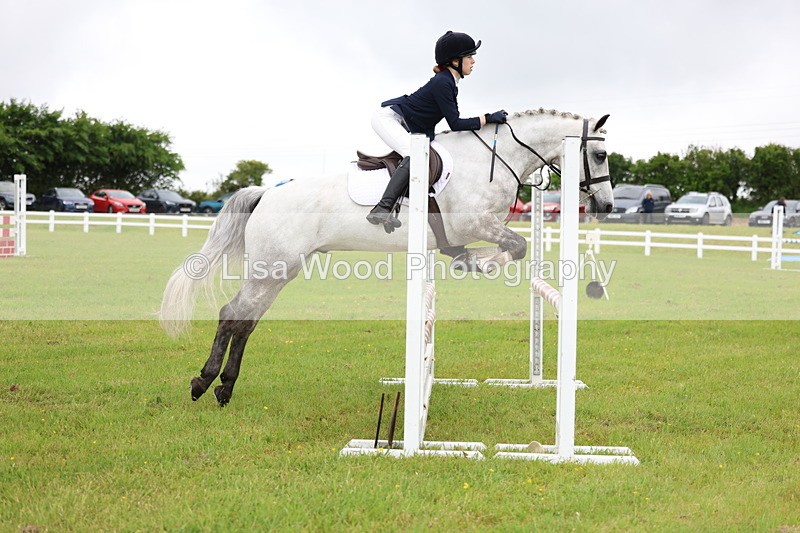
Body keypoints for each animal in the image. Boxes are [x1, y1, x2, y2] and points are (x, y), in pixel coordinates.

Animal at [159, 108, 614, 406]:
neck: (491, 158)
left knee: (244, 320)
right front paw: (474, 262)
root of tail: (266, 193)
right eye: (601, 155)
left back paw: (223, 388)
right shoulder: (474, 224)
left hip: (279, 271)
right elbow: (515, 247)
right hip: (271, 269)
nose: (607, 206)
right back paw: (204, 382)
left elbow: (511, 248)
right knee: (232, 315)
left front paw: (467, 260)